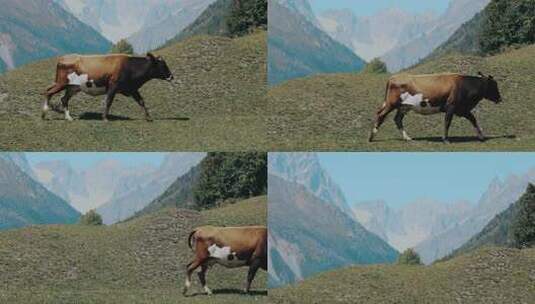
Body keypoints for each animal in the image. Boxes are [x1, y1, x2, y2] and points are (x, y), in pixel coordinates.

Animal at [44, 53, 174, 121]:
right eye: (163, 65)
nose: (171, 76)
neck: (130, 67)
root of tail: (63, 57)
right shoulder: (113, 86)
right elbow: (108, 101)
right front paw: (105, 118)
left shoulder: (132, 88)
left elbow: (141, 101)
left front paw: (149, 117)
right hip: (62, 83)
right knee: (48, 92)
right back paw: (44, 113)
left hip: (73, 87)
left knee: (63, 98)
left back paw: (68, 117)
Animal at [368, 72, 502, 143]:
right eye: (494, 86)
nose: (500, 99)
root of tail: (393, 77)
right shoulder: (451, 106)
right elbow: (447, 122)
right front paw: (446, 139)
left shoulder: (462, 109)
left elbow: (473, 119)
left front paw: (481, 136)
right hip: (392, 103)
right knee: (381, 115)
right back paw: (371, 137)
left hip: (404, 106)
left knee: (397, 119)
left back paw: (407, 137)